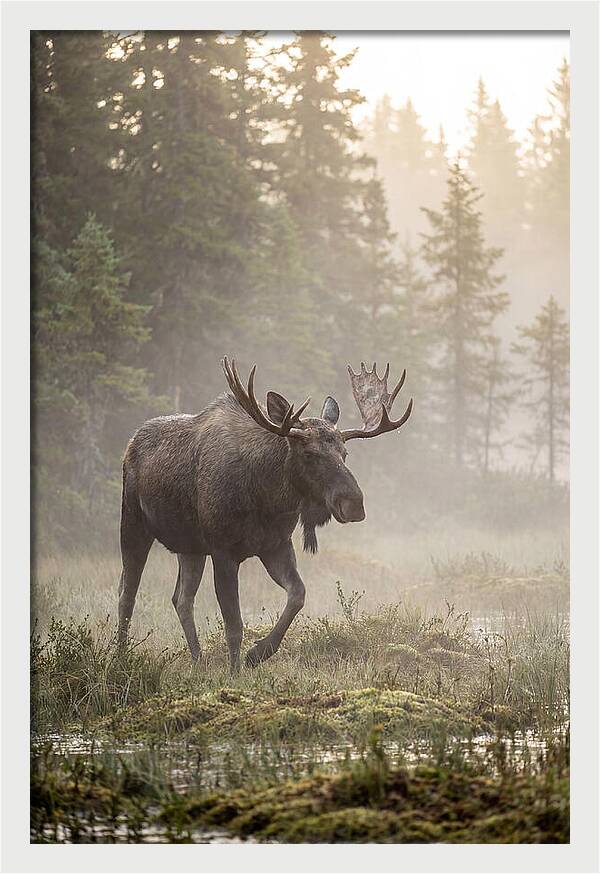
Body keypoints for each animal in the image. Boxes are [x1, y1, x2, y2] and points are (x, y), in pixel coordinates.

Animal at [118, 358, 413, 671]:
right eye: (309, 453)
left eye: (345, 453)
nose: (354, 503)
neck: (267, 498)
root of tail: (131, 443)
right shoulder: (223, 551)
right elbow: (234, 624)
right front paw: (235, 672)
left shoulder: (276, 545)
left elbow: (297, 595)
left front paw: (258, 653)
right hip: (133, 523)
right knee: (127, 593)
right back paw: (120, 656)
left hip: (190, 547)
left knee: (181, 599)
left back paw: (197, 660)